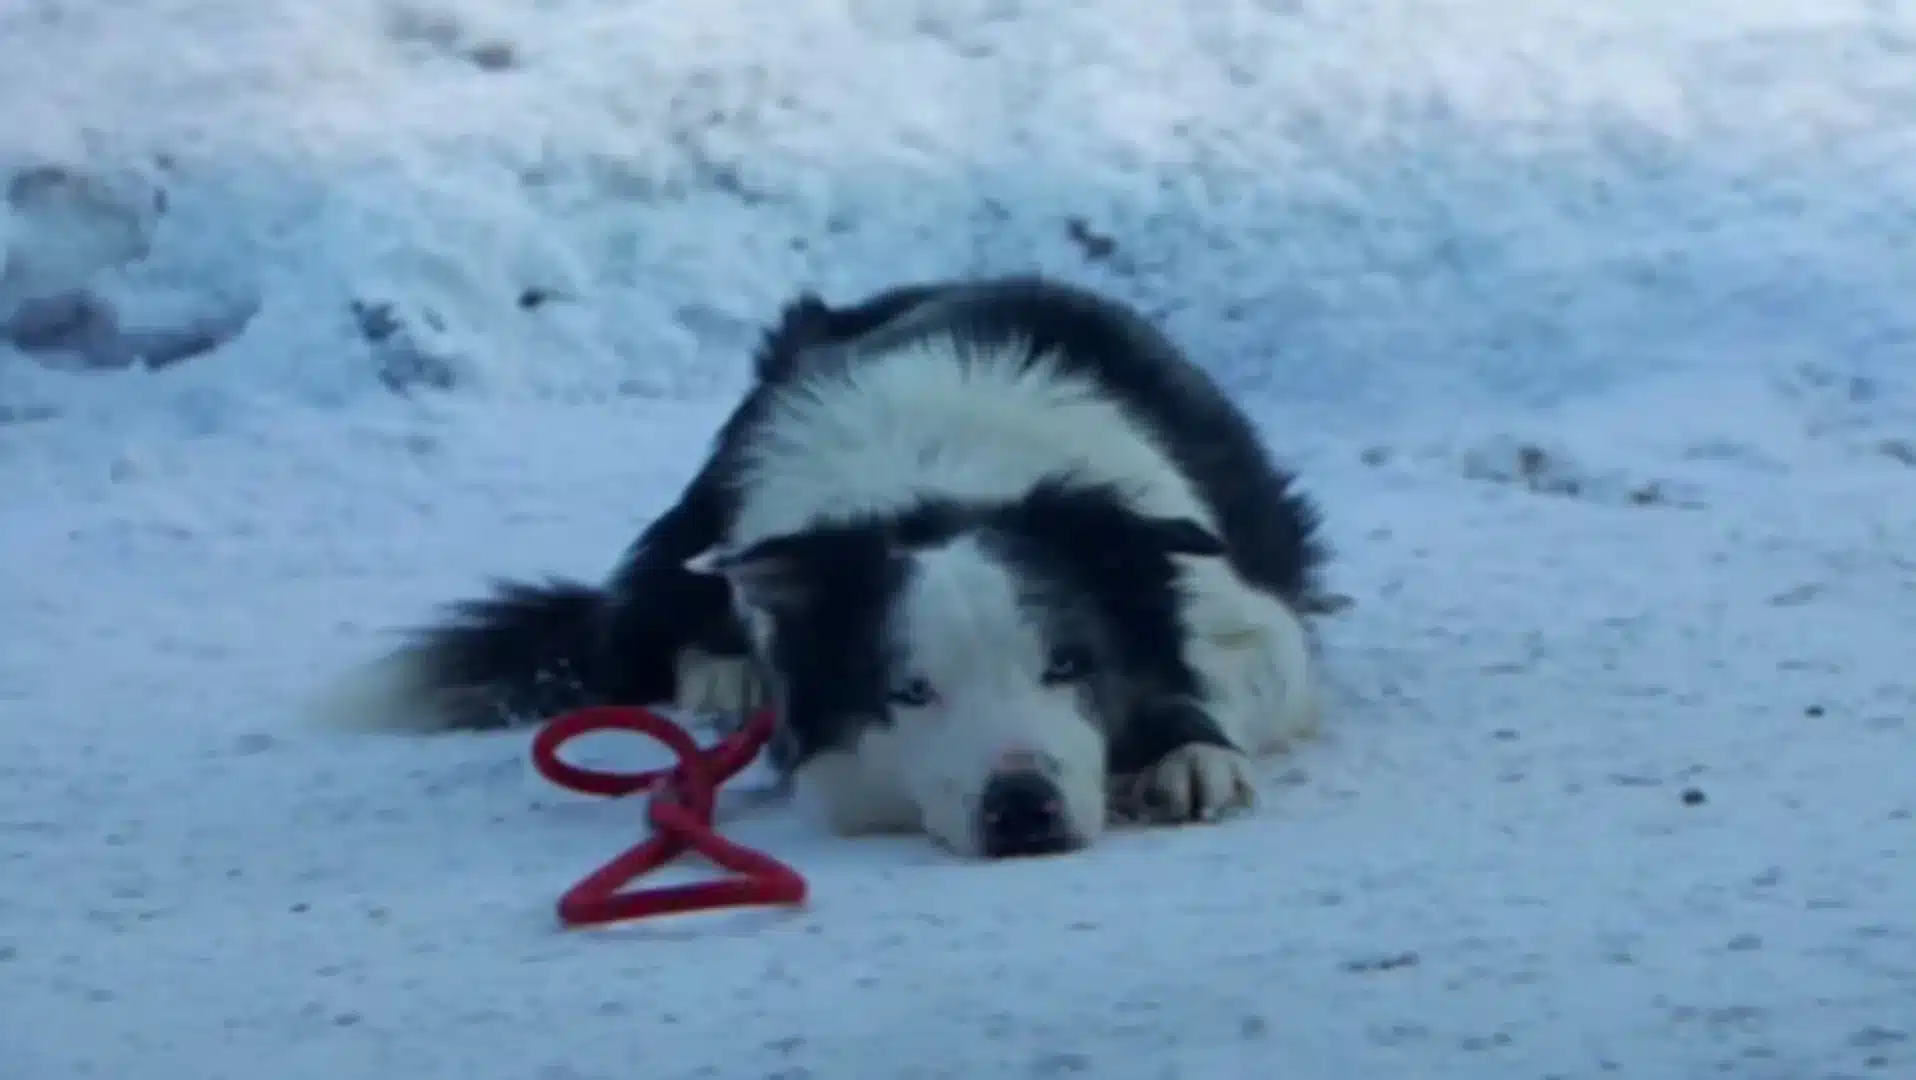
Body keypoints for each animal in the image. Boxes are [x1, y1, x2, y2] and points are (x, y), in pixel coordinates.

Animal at [318, 275, 1333, 861]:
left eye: (1069, 665)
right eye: (912, 692)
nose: (1021, 808)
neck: (944, 485)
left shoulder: (1243, 607)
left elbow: (1238, 669)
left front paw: (1190, 751)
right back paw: (725, 675)